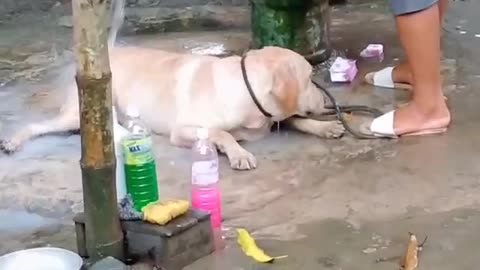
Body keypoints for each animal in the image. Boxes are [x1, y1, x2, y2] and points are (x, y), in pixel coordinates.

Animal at [0, 45, 344, 170]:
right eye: (310, 78)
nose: (326, 101)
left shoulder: (271, 117)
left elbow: (296, 119)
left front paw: (325, 126)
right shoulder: (184, 129)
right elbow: (221, 133)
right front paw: (238, 153)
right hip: (79, 113)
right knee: (37, 126)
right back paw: (12, 141)